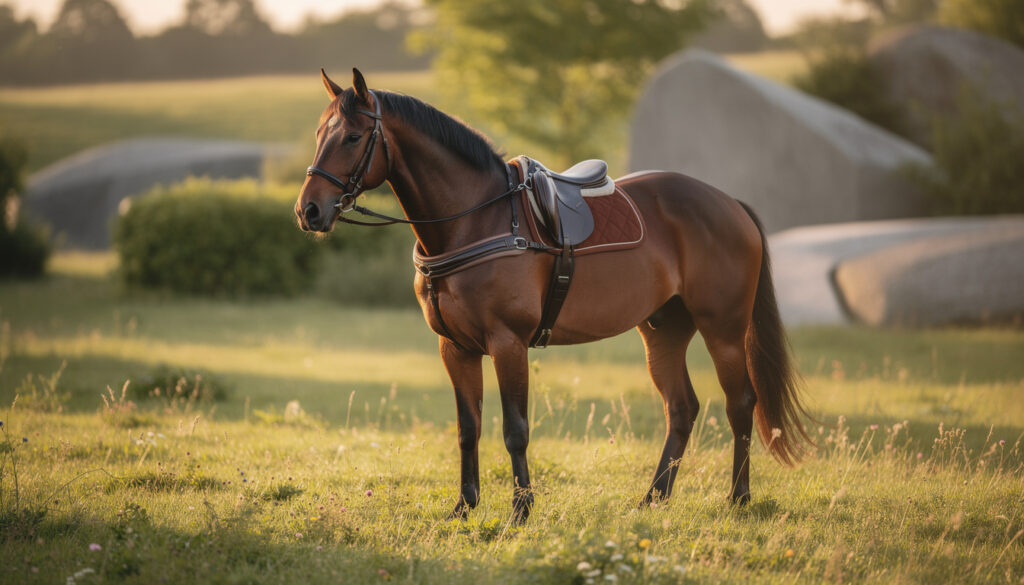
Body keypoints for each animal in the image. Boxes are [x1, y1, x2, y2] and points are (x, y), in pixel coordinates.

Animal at [295, 68, 811, 524]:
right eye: (320, 133)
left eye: (353, 137)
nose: (308, 211)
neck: (477, 219)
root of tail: (729, 203)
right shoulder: (456, 348)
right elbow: (468, 428)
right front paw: (464, 506)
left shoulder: (508, 343)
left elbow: (515, 430)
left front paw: (521, 510)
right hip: (663, 331)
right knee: (681, 408)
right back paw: (653, 499)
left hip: (723, 329)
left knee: (740, 404)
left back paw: (738, 498)